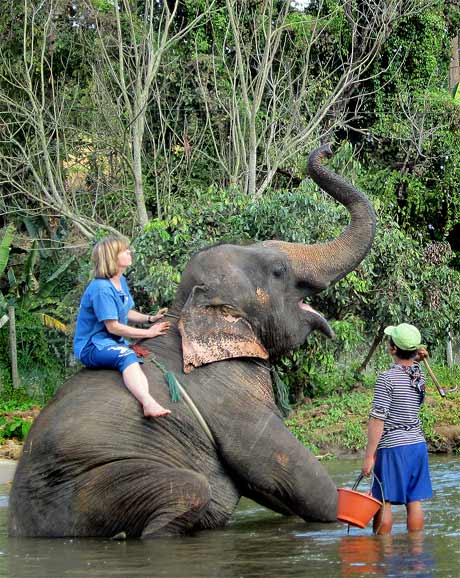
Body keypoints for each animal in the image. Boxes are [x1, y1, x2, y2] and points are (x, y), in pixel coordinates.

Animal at [9, 143, 376, 536]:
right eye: (278, 271)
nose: (327, 149)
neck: (184, 312)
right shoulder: (228, 397)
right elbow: (290, 476)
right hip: (87, 486)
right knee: (189, 489)